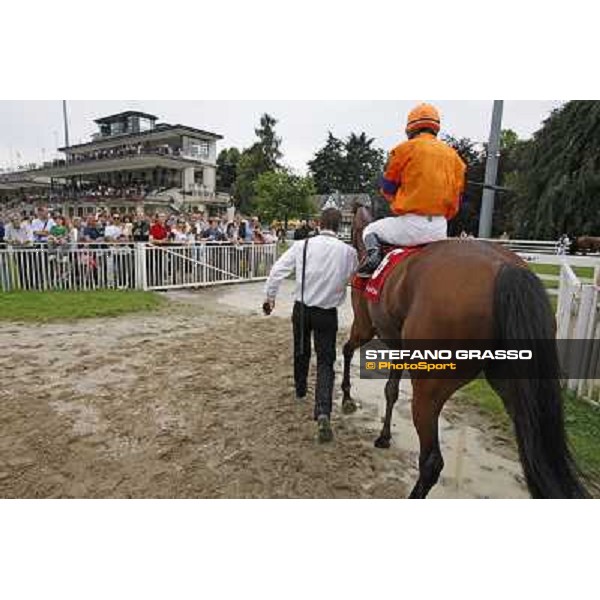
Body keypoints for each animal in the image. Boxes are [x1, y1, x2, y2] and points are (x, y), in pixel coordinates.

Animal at [340, 204, 588, 500]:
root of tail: (504, 267)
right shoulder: (399, 347)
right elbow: (390, 391)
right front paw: (384, 436)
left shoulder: (365, 327)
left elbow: (346, 350)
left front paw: (346, 398)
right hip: (515, 386)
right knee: (534, 455)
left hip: (430, 385)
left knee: (432, 461)